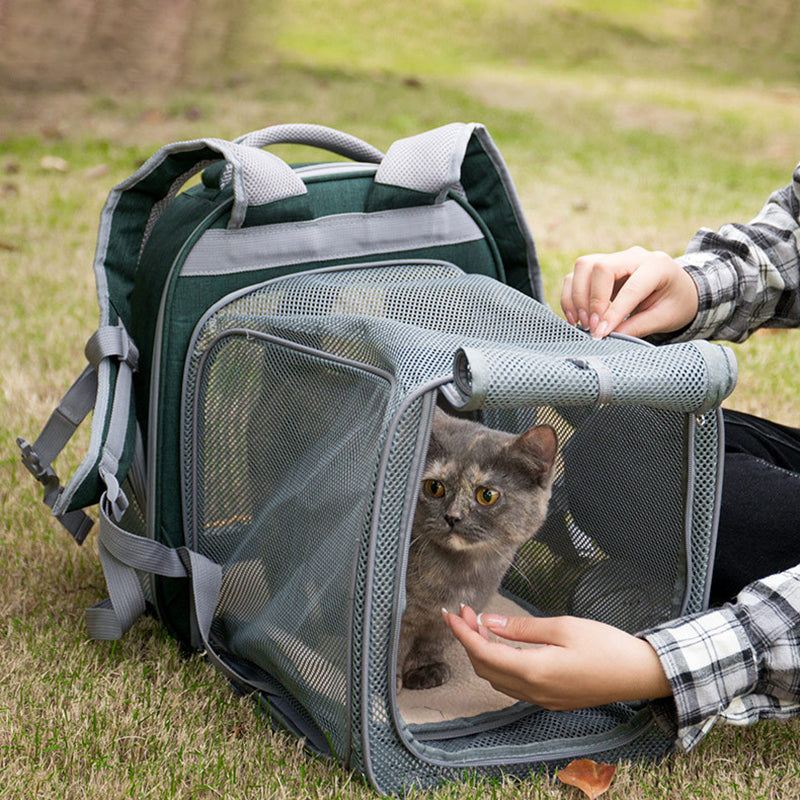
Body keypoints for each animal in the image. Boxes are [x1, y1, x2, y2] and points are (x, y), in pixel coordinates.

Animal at [398, 410, 556, 692]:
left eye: (487, 495)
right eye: (434, 487)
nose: (452, 517)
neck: (460, 574)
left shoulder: (449, 619)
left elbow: (431, 644)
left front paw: (424, 669)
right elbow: (393, 648)